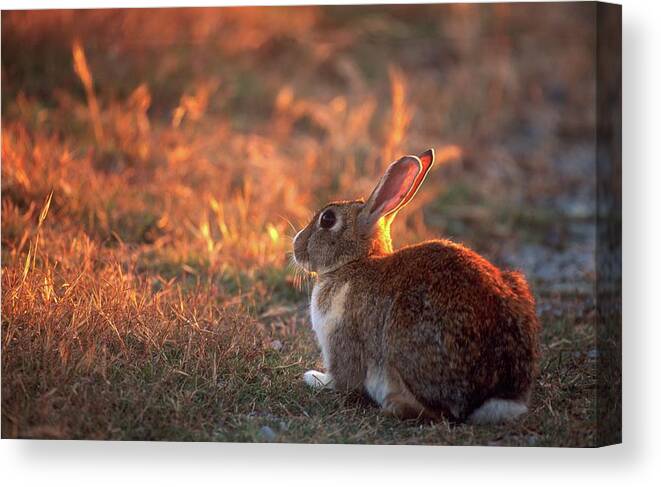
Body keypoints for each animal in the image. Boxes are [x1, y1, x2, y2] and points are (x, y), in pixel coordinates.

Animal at [292, 149, 540, 424]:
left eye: (327, 219)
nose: (295, 245)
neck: (355, 262)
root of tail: (496, 396)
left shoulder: (342, 340)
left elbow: (342, 379)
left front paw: (314, 378)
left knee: (440, 411)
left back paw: (393, 405)